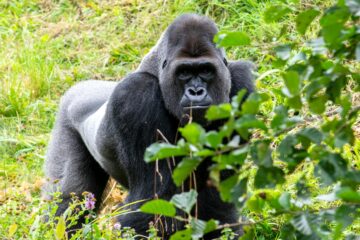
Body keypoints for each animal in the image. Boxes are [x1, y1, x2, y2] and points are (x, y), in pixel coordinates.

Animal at [43, 14, 255, 239]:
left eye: (206, 70)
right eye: (184, 73)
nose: (196, 91)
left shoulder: (241, 84)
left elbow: (218, 193)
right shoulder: (136, 94)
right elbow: (151, 200)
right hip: (66, 115)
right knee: (68, 198)